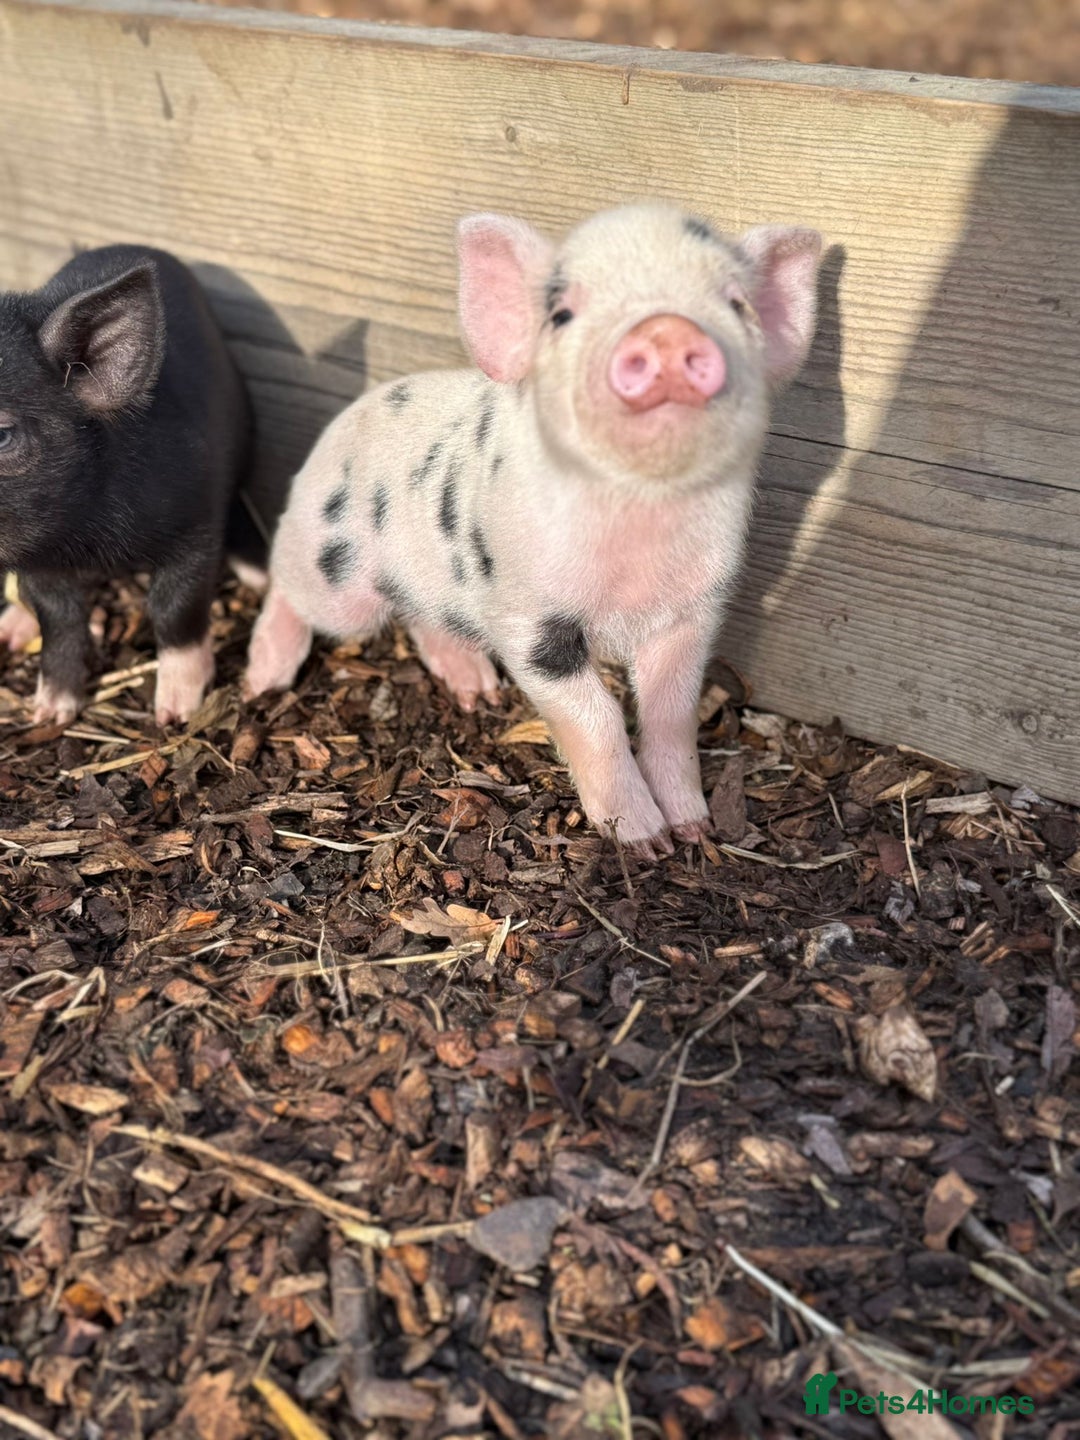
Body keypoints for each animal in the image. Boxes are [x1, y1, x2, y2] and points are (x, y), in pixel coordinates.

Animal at [0, 244, 255, 726]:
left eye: (2, 434)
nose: (173, 717)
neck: (86, 538)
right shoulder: (38, 561)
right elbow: (58, 616)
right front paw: (49, 715)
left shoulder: (195, 520)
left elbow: (176, 608)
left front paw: (176, 713)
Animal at [245, 203, 822, 857]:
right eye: (562, 313)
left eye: (735, 303)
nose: (666, 331)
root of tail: (337, 427)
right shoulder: (528, 616)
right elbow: (597, 717)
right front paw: (645, 844)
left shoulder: (694, 608)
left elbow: (672, 714)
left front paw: (694, 832)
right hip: (334, 572)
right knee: (287, 584)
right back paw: (262, 680)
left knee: (422, 617)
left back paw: (478, 690)